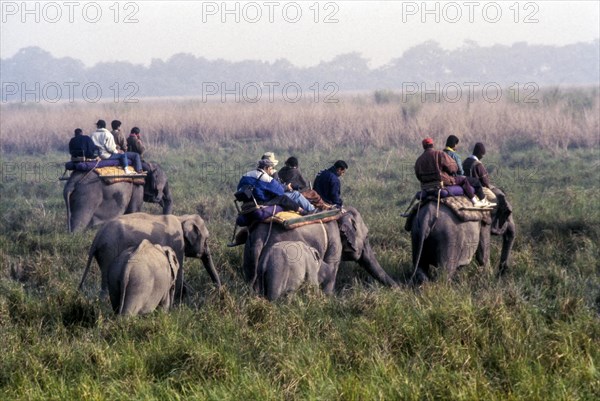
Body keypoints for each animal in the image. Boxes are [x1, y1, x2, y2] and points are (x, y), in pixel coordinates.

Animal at [78, 211, 221, 298]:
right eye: (206, 239)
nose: (218, 291)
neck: (182, 218)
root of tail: (98, 236)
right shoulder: (177, 245)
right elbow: (179, 272)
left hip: (104, 252)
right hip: (109, 251)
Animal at [244, 206, 398, 294]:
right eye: (366, 236)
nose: (399, 290)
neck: (339, 214)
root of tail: (258, 237)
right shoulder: (334, 241)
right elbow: (332, 267)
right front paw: (329, 298)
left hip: (250, 252)